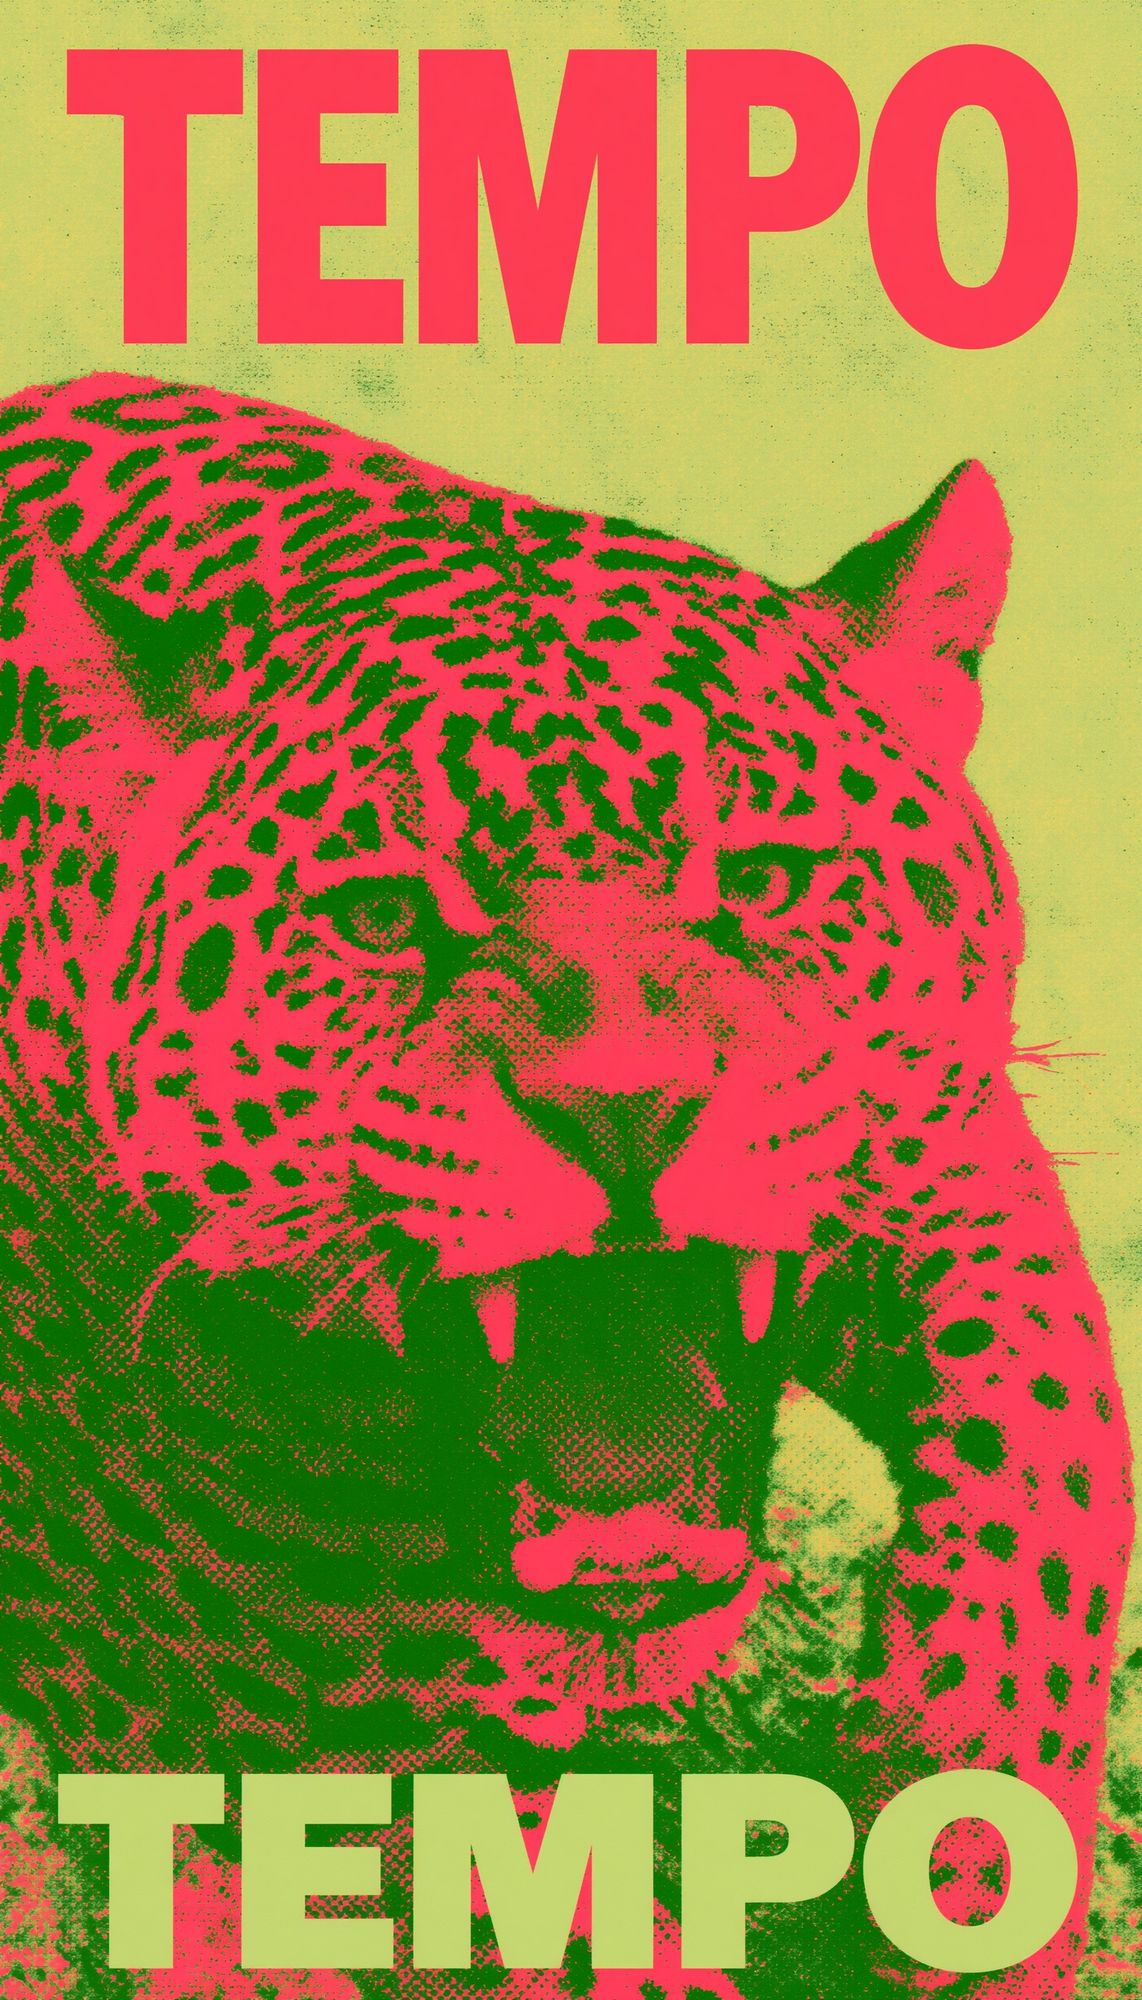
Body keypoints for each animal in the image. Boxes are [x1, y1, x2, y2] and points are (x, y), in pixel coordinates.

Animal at [0, 373, 1132, 1999]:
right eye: (383, 918)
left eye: (765, 883)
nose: (623, 1108)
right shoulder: (275, 1684)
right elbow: (531, 1901)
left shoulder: (949, 1136)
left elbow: (1052, 1448)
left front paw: (970, 1839)